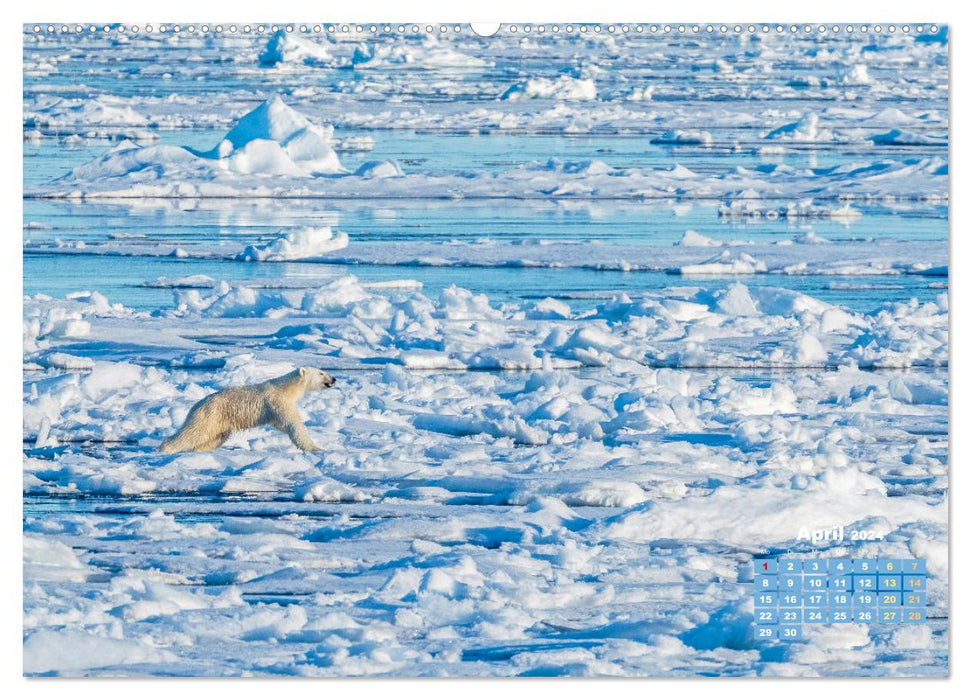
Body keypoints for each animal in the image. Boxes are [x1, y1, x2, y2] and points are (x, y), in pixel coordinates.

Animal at [160, 366, 338, 454]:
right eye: (321, 373)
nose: (334, 378)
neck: (286, 388)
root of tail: (196, 405)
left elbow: (283, 424)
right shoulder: (278, 402)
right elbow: (294, 425)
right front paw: (316, 448)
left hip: (220, 423)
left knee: (214, 438)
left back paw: (200, 450)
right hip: (210, 415)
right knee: (192, 433)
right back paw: (165, 449)